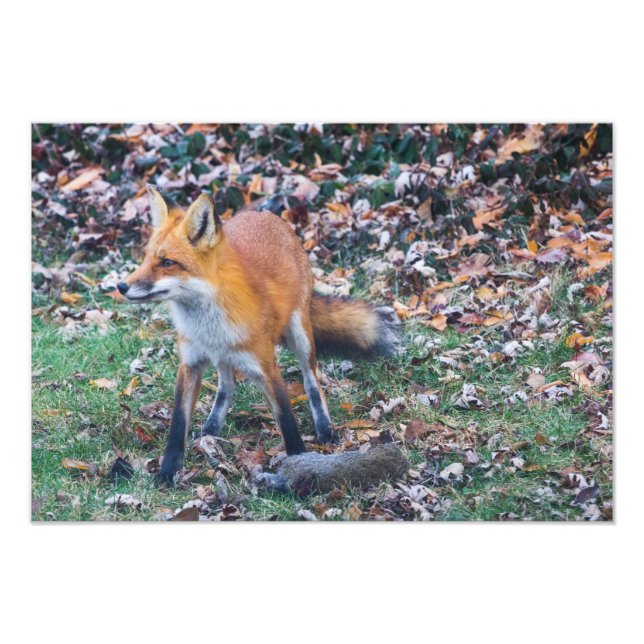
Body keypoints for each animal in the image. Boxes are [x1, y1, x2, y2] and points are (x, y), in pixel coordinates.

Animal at [119, 185, 400, 487]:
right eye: (146, 258)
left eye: (167, 262)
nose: (121, 286)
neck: (208, 323)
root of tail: (265, 214)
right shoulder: (190, 364)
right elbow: (177, 425)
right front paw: (167, 472)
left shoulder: (267, 367)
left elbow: (287, 421)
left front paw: (297, 466)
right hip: (225, 356)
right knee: (226, 387)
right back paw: (210, 430)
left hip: (300, 335)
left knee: (312, 382)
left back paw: (324, 428)